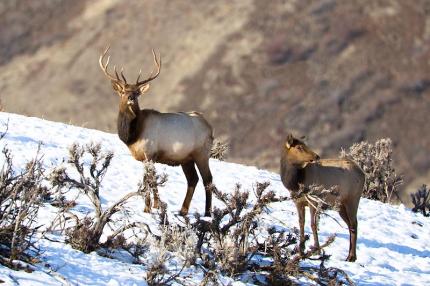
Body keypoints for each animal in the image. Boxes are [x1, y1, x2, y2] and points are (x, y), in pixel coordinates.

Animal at [101, 47, 215, 217]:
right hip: (186, 158)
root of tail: (210, 127)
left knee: (207, 179)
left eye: (137, 92)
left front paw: (148, 207)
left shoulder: (150, 154)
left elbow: (150, 181)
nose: (130, 98)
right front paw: (154, 205)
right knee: (192, 179)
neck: (133, 134)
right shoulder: (144, 158)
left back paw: (207, 213)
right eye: (123, 91)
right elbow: (149, 181)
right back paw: (183, 210)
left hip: (201, 153)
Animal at [280, 134, 364, 262]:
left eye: (306, 145)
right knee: (349, 225)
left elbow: (313, 224)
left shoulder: (313, 201)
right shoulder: (298, 202)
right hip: (341, 206)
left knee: (354, 224)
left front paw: (316, 249)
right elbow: (301, 223)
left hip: (352, 199)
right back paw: (349, 255)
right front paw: (301, 249)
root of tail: (363, 173)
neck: (294, 183)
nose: (316, 156)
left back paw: (352, 256)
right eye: (299, 147)